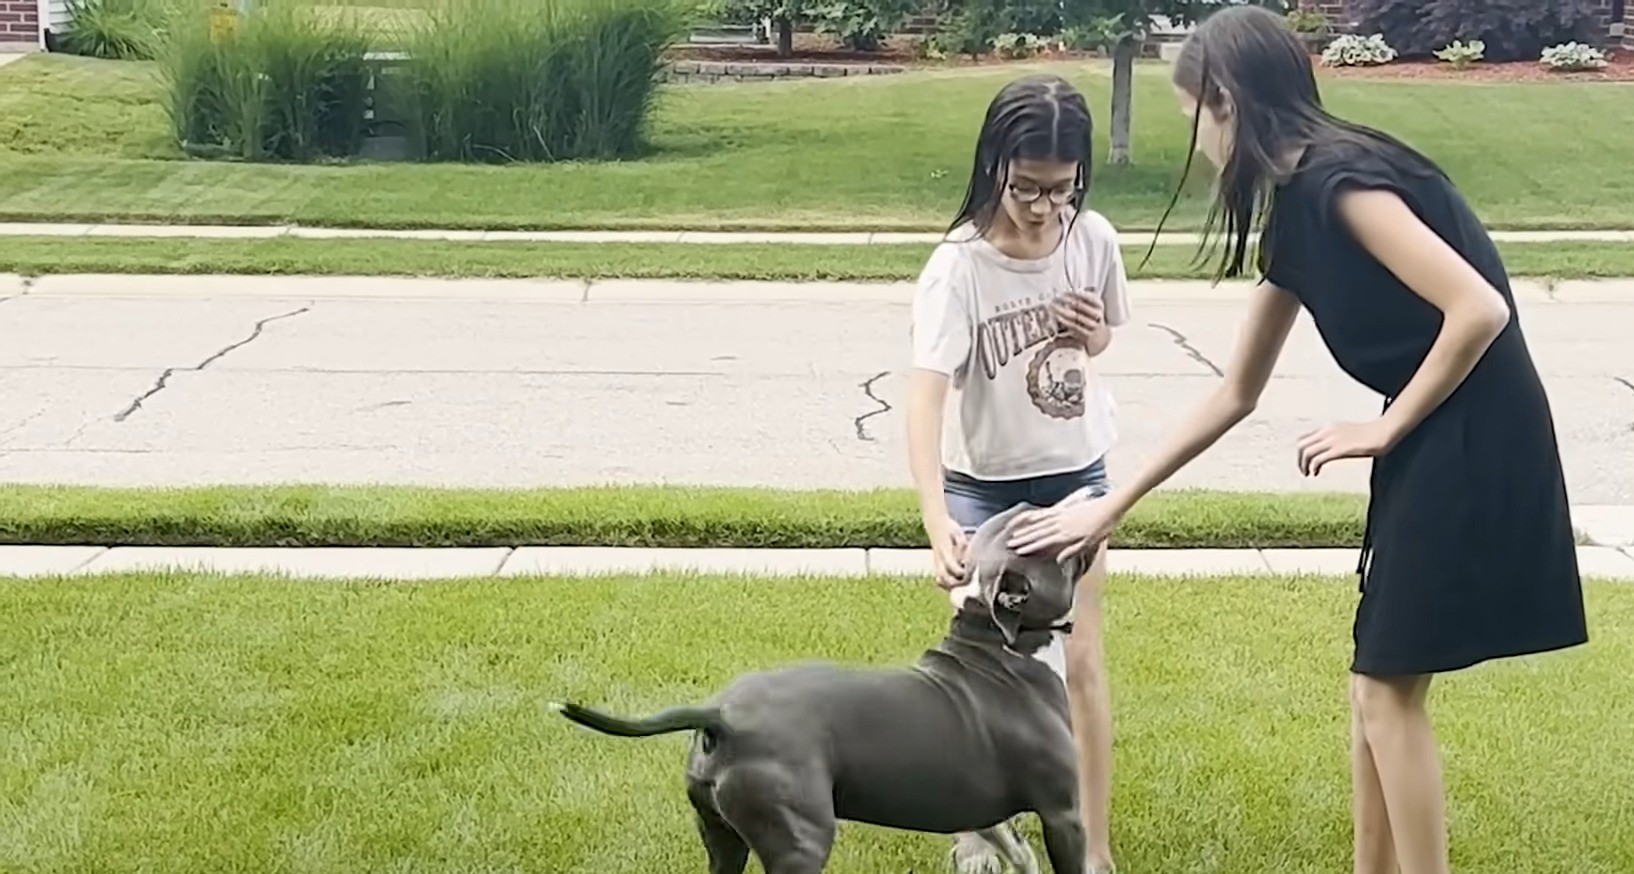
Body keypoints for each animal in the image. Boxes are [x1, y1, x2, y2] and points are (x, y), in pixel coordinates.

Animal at [552, 503, 1098, 874]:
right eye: (1040, 526)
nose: (1074, 504)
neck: (1001, 645)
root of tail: (719, 716)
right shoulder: (1063, 813)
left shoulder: (979, 806)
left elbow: (1011, 844)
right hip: (799, 839)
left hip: (720, 835)